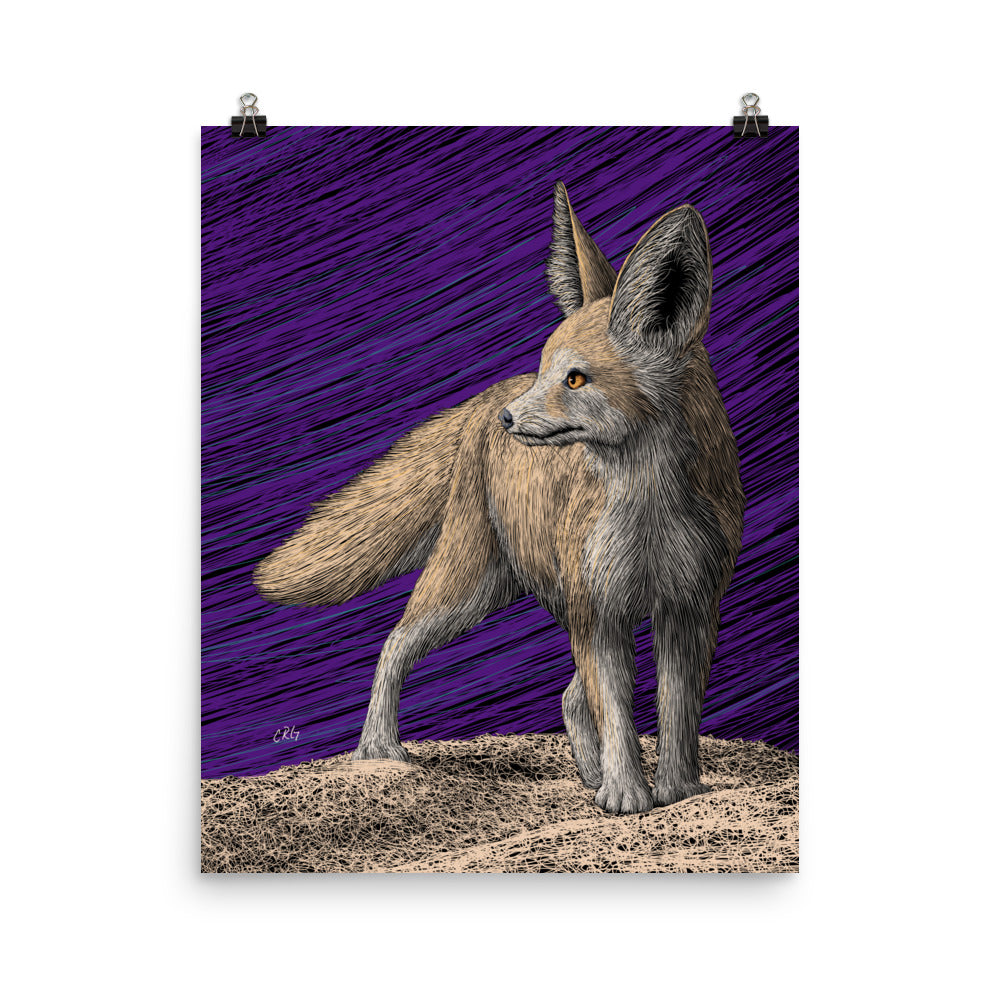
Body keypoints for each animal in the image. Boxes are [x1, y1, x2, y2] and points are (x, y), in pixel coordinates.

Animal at [253, 182, 745, 815]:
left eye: (575, 379)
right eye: (544, 369)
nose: (510, 419)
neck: (649, 513)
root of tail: (484, 401)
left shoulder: (689, 608)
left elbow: (677, 715)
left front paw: (678, 791)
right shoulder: (600, 613)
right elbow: (617, 713)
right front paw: (627, 796)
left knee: (568, 697)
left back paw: (587, 776)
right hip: (466, 590)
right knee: (394, 644)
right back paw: (378, 753)